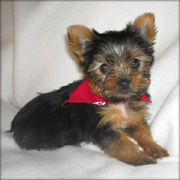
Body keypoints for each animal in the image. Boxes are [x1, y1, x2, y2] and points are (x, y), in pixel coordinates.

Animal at [9, 13, 169, 166]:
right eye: (104, 68)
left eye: (135, 62)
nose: (124, 82)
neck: (118, 101)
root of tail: (14, 124)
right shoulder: (101, 125)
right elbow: (122, 143)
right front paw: (139, 157)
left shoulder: (133, 116)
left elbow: (142, 130)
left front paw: (154, 147)